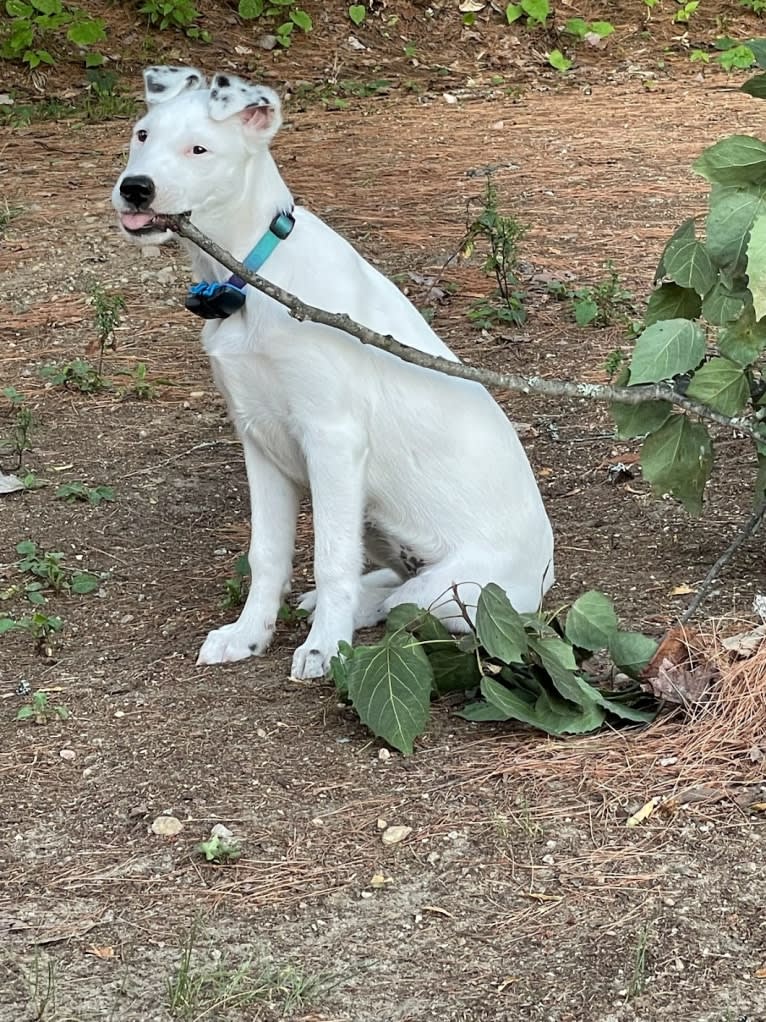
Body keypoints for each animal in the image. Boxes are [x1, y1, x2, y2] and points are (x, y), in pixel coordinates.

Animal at [110, 67, 555, 682]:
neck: (254, 276)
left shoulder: (332, 439)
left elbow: (330, 560)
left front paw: (324, 647)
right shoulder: (258, 439)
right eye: (142, 135)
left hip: (464, 590)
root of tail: (546, 574)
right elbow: (267, 554)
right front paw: (249, 635)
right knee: (392, 586)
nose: (135, 188)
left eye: (199, 149)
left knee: (403, 604)